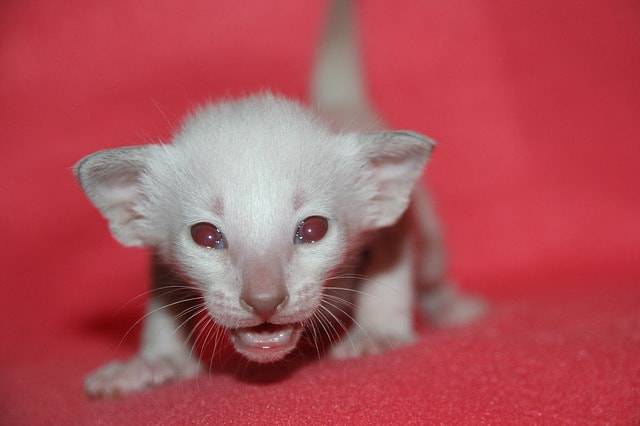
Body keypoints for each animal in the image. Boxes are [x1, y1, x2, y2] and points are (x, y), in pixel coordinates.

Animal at [76, 0, 484, 400]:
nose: (264, 300)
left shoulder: (394, 228)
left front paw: (377, 333)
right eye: (205, 236)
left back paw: (450, 306)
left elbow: (389, 276)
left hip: (430, 241)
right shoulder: (163, 258)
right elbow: (163, 305)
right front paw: (154, 362)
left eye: (314, 229)